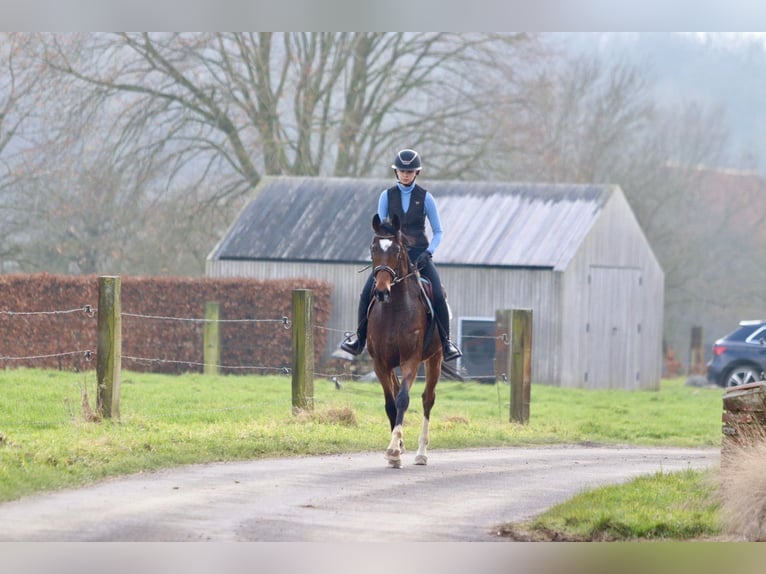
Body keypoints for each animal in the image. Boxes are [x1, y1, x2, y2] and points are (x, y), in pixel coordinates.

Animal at [366, 214, 444, 470]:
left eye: (397, 250)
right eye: (373, 249)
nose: (381, 291)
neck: (394, 310)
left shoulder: (411, 359)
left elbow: (402, 399)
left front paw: (393, 450)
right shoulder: (380, 363)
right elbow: (390, 403)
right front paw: (396, 449)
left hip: (435, 359)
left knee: (427, 399)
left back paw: (421, 454)